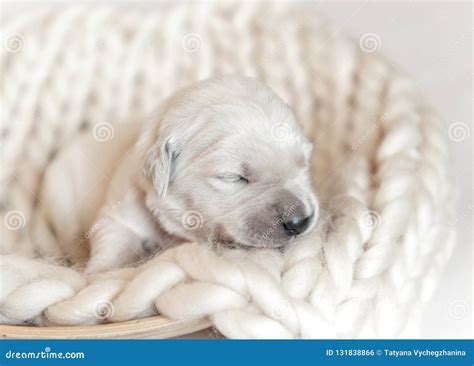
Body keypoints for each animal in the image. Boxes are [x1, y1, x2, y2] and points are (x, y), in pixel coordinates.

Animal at [87, 76, 320, 274]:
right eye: (234, 177)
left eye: (304, 164)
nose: (299, 222)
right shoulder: (123, 208)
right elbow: (115, 235)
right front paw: (102, 271)